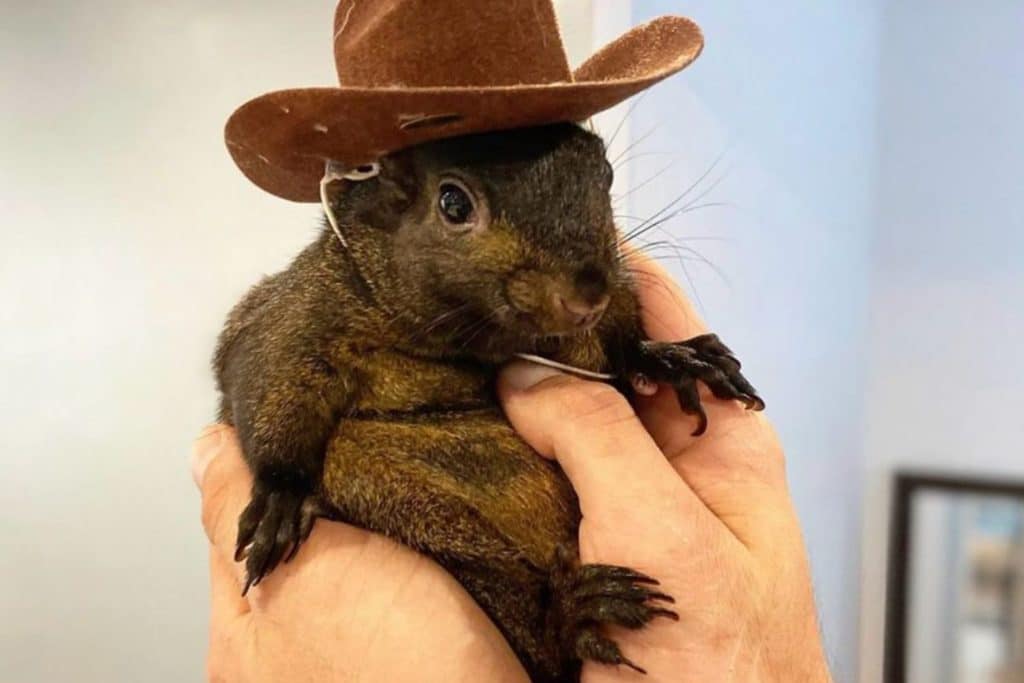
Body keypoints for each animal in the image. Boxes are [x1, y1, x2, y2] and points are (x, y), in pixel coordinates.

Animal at [213, 122, 764, 682]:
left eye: (605, 174)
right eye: (453, 203)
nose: (587, 295)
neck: (474, 342)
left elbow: (621, 346)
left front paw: (672, 358)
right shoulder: (297, 316)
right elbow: (268, 383)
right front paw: (280, 497)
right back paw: (571, 615)